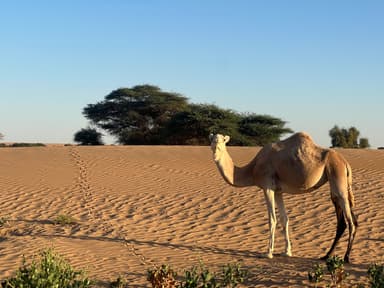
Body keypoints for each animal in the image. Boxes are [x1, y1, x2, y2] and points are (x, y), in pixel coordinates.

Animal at [210, 132, 356, 262]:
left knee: (350, 221)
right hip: (337, 181)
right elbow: (284, 219)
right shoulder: (278, 190)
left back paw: (346, 257)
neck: (253, 169)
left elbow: (272, 219)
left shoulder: (267, 186)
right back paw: (326, 256)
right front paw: (287, 252)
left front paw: (268, 253)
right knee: (343, 217)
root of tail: (346, 163)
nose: (215, 152)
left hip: (337, 175)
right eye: (212, 142)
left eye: (222, 141)